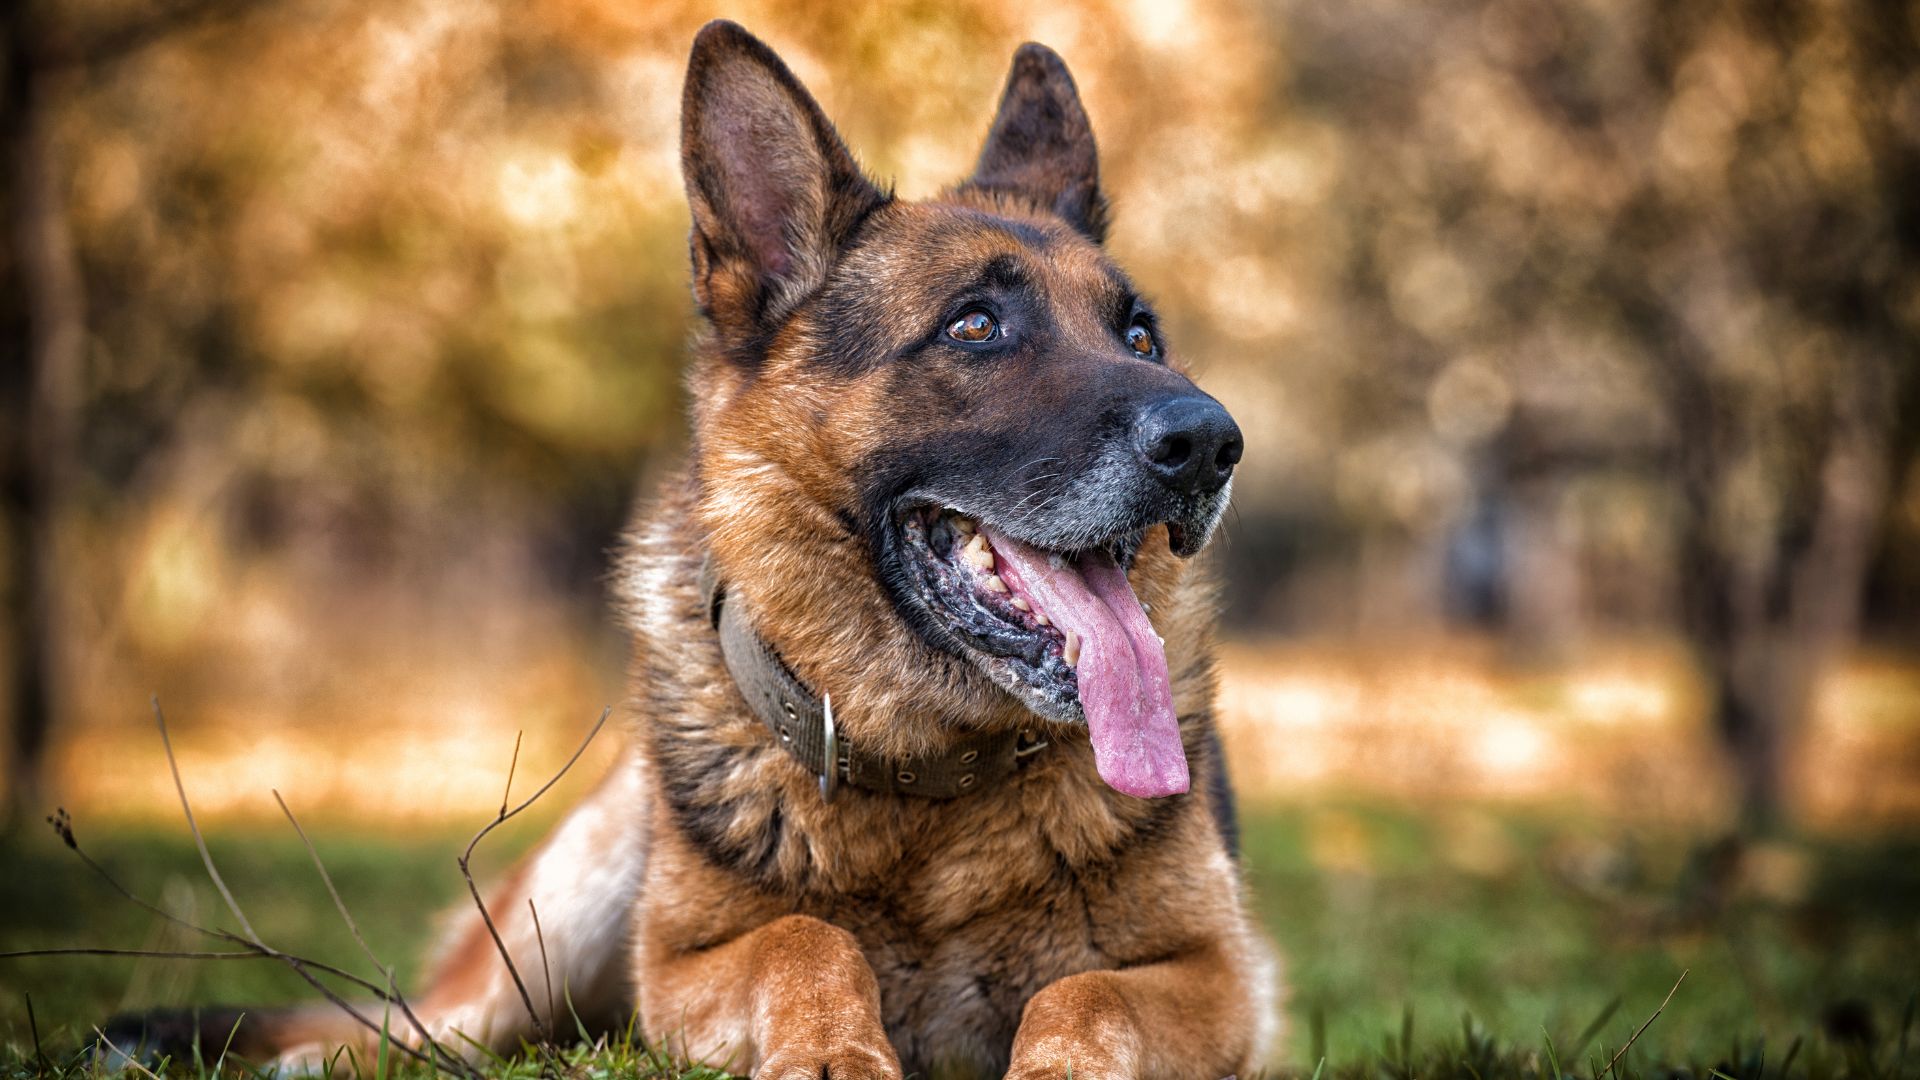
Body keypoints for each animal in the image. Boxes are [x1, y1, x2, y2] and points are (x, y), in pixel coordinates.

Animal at [105, 18, 1282, 1076]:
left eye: (1141, 337)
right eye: (975, 326)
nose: (1211, 442)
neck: (932, 794)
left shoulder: (1224, 978)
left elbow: (1085, 995)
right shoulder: (678, 966)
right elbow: (803, 937)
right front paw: (831, 1047)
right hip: (553, 921)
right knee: (411, 1029)